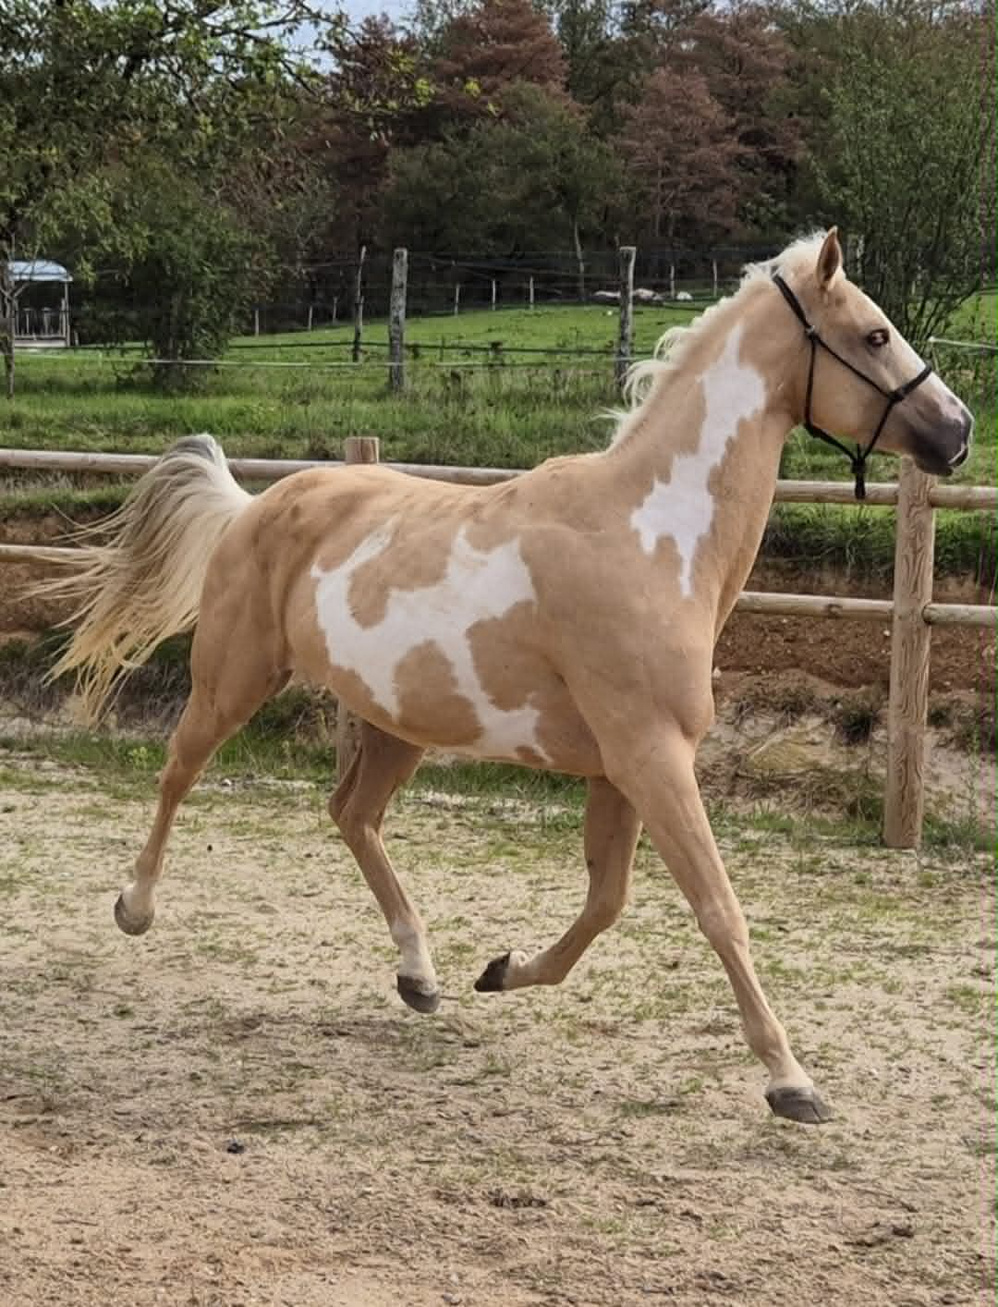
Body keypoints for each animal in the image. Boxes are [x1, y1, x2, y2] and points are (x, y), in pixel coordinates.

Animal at [45, 229, 972, 1125]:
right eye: (875, 334)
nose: (957, 429)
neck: (649, 540)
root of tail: (252, 505)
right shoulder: (652, 755)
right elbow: (717, 909)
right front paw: (791, 1081)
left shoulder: (620, 769)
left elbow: (605, 902)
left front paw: (500, 968)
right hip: (234, 677)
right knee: (179, 770)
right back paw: (136, 907)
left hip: (396, 720)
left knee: (352, 815)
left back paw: (420, 974)